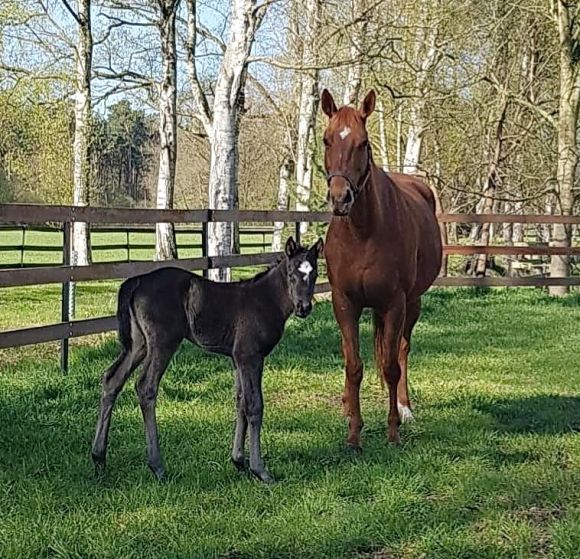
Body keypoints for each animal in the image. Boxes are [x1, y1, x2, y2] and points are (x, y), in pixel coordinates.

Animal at [93, 236, 324, 482]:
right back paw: (157, 466)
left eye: (315, 273)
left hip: (138, 344)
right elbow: (254, 406)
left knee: (112, 380)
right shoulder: (250, 357)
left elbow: (240, 401)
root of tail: (137, 281)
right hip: (163, 343)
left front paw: (239, 461)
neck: (265, 300)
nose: (304, 308)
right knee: (146, 386)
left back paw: (99, 458)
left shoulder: (237, 359)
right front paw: (260, 470)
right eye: (291, 274)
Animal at [324, 91, 442, 450]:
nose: (340, 198)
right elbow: (353, 365)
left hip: (412, 304)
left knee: (401, 352)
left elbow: (390, 366)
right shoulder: (344, 302)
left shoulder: (394, 304)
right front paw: (353, 433)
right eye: (326, 140)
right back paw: (347, 405)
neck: (363, 232)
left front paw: (392, 431)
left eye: (363, 143)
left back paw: (405, 408)